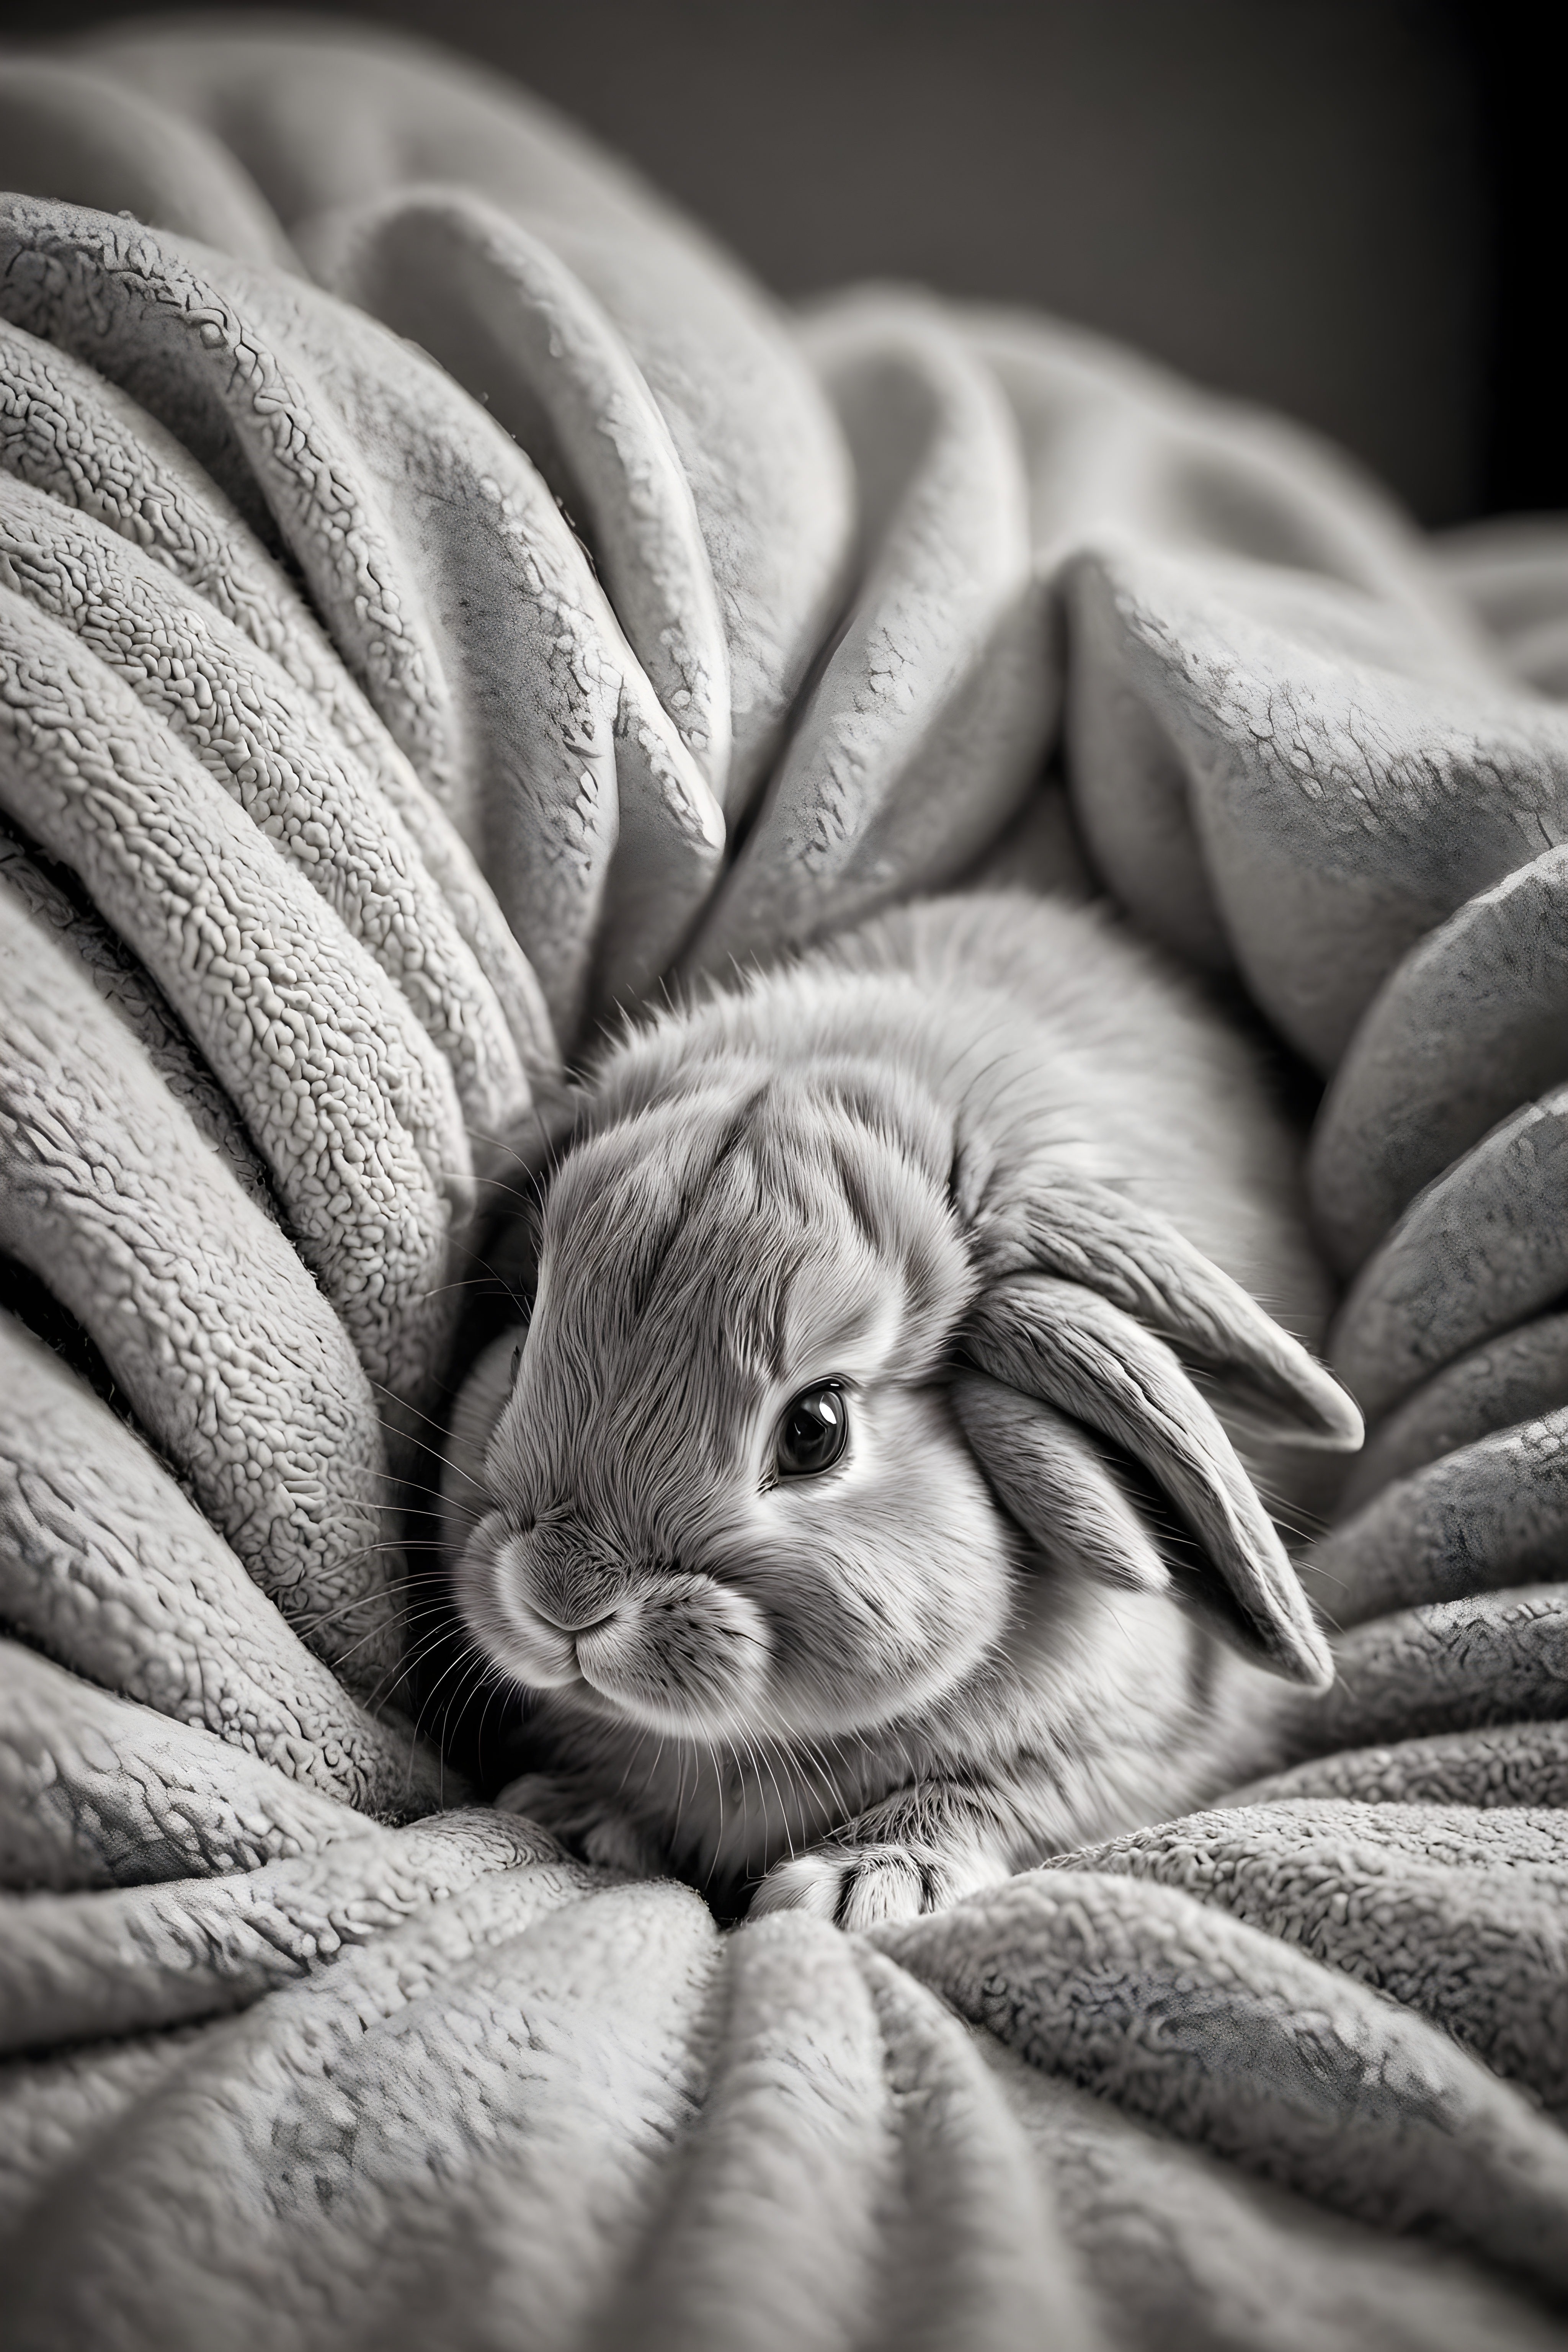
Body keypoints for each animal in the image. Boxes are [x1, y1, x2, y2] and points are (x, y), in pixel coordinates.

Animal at [447, 891, 1361, 1927]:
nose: (564, 1598)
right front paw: (574, 1814)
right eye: (522, 1342)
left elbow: (986, 1794)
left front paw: (864, 1884)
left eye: (816, 1430)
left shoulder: (1112, 1758)